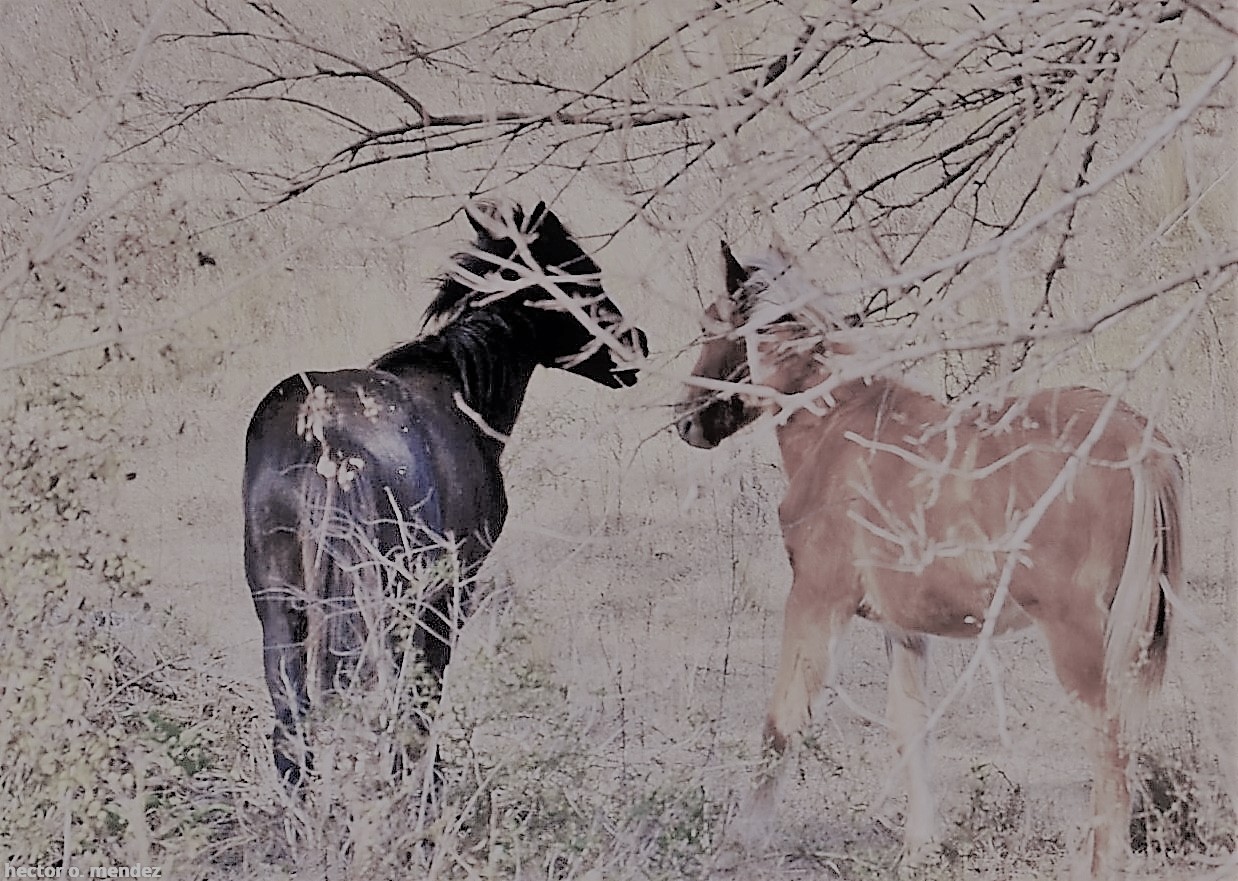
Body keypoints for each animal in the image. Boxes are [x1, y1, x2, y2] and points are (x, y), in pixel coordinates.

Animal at [241, 201, 648, 786]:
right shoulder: (450, 590)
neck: (459, 388)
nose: (635, 345)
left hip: (279, 607)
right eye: (579, 277)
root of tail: (318, 433)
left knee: (292, 731)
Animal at [678, 238, 1178, 876]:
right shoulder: (903, 628)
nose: (688, 422)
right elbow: (910, 726)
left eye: (710, 324)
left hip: (1079, 633)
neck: (836, 424)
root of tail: (1135, 438)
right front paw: (921, 845)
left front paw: (742, 839)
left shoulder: (817, 599)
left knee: (1108, 740)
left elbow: (783, 718)